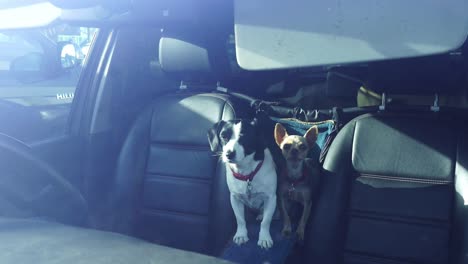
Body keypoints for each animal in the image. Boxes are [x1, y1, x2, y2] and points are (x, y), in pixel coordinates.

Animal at [208, 118, 278, 249]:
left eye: (245, 137)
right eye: (223, 136)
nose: (229, 154)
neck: (247, 175)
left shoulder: (271, 198)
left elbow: (266, 221)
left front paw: (264, 238)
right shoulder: (235, 198)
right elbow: (240, 219)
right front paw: (241, 235)